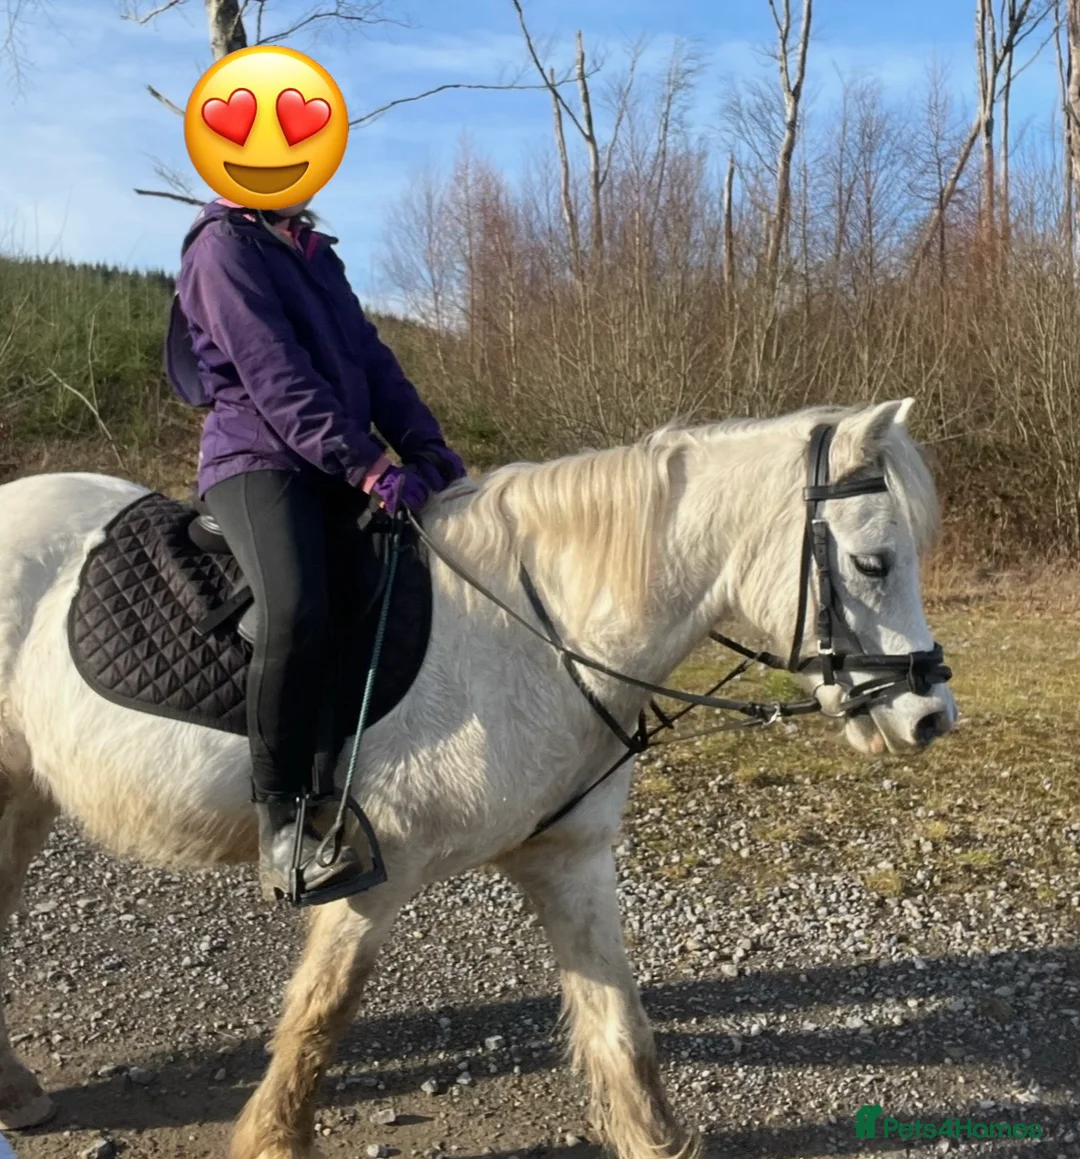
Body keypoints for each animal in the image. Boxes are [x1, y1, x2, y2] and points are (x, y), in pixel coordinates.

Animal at [0, 399, 956, 1159]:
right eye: (874, 561)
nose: (931, 716)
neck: (534, 633)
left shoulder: (570, 860)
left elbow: (620, 1022)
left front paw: (653, 1137)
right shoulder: (368, 873)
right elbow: (322, 1011)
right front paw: (274, 1139)